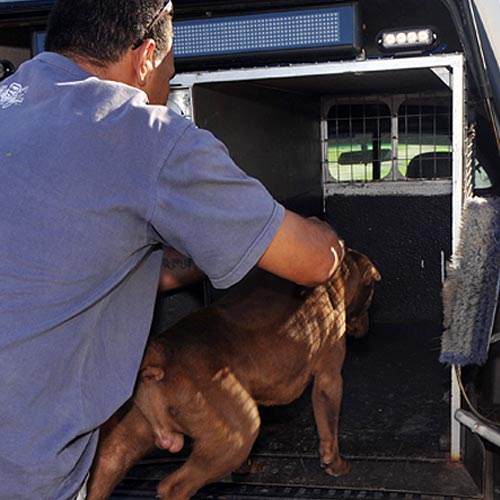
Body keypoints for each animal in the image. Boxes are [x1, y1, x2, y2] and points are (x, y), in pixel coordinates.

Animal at [88, 248, 380, 498]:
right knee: (173, 487)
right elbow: (329, 428)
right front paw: (336, 465)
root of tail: (159, 353)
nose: (366, 328)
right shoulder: (329, 377)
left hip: (119, 450)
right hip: (238, 433)